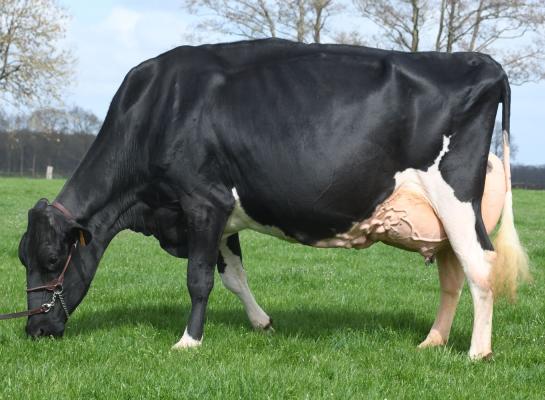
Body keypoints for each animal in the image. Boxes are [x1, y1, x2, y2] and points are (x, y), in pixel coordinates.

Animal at [17, 39, 528, 360]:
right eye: (22, 257)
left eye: (51, 258)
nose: (34, 330)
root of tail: (482, 62)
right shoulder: (220, 214)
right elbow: (233, 276)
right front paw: (261, 322)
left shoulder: (202, 202)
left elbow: (199, 279)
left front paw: (188, 342)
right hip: (441, 219)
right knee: (452, 275)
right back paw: (432, 342)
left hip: (456, 198)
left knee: (480, 266)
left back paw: (477, 352)